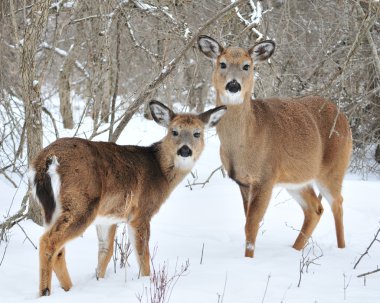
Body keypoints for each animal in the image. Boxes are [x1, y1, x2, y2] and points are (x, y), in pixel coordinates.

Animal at [30, 101, 226, 296]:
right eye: (174, 131)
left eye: (197, 133)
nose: (185, 150)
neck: (160, 171)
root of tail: (47, 159)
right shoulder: (141, 213)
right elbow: (143, 255)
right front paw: (146, 281)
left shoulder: (108, 217)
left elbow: (106, 251)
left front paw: (98, 280)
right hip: (81, 203)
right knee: (48, 242)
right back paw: (45, 292)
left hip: (51, 208)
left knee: (59, 249)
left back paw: (68, 289)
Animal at [197, 36, 352, 258]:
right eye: (222, 64)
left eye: (247, 66)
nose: (233, 85)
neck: (244, 143)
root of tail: (344, 118)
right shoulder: (243, 181)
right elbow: (247, 222)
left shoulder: (266, 177)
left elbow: (251, 225)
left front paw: (248, 260)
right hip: (297, 179)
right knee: (315, 209)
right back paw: (295, 250)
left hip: (333, 168)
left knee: (337, 203)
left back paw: (341, 249)